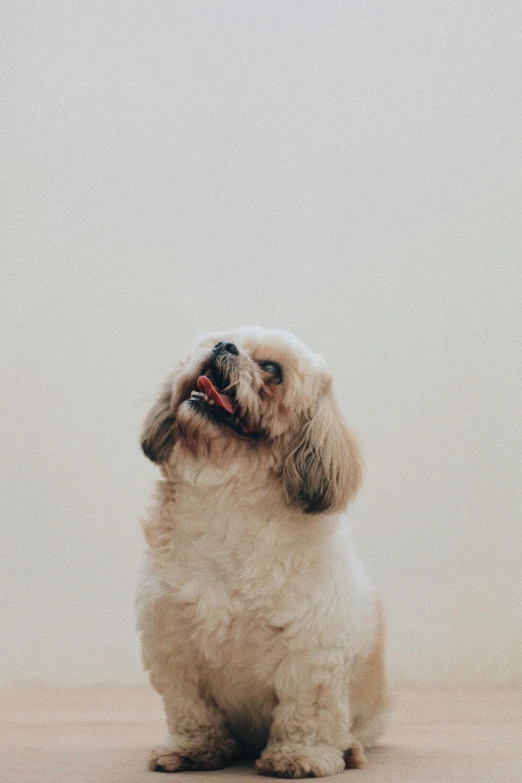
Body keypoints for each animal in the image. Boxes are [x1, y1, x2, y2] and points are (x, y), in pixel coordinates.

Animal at [136, 326, 388, 776]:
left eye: (272, 369)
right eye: (214, 341)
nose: (224, 348)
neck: (228, 502)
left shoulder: (311, 653)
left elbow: (305, 712)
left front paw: (300, 755)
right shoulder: (174, 649)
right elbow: (192, 711)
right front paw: (192, 749)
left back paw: (350, 749)